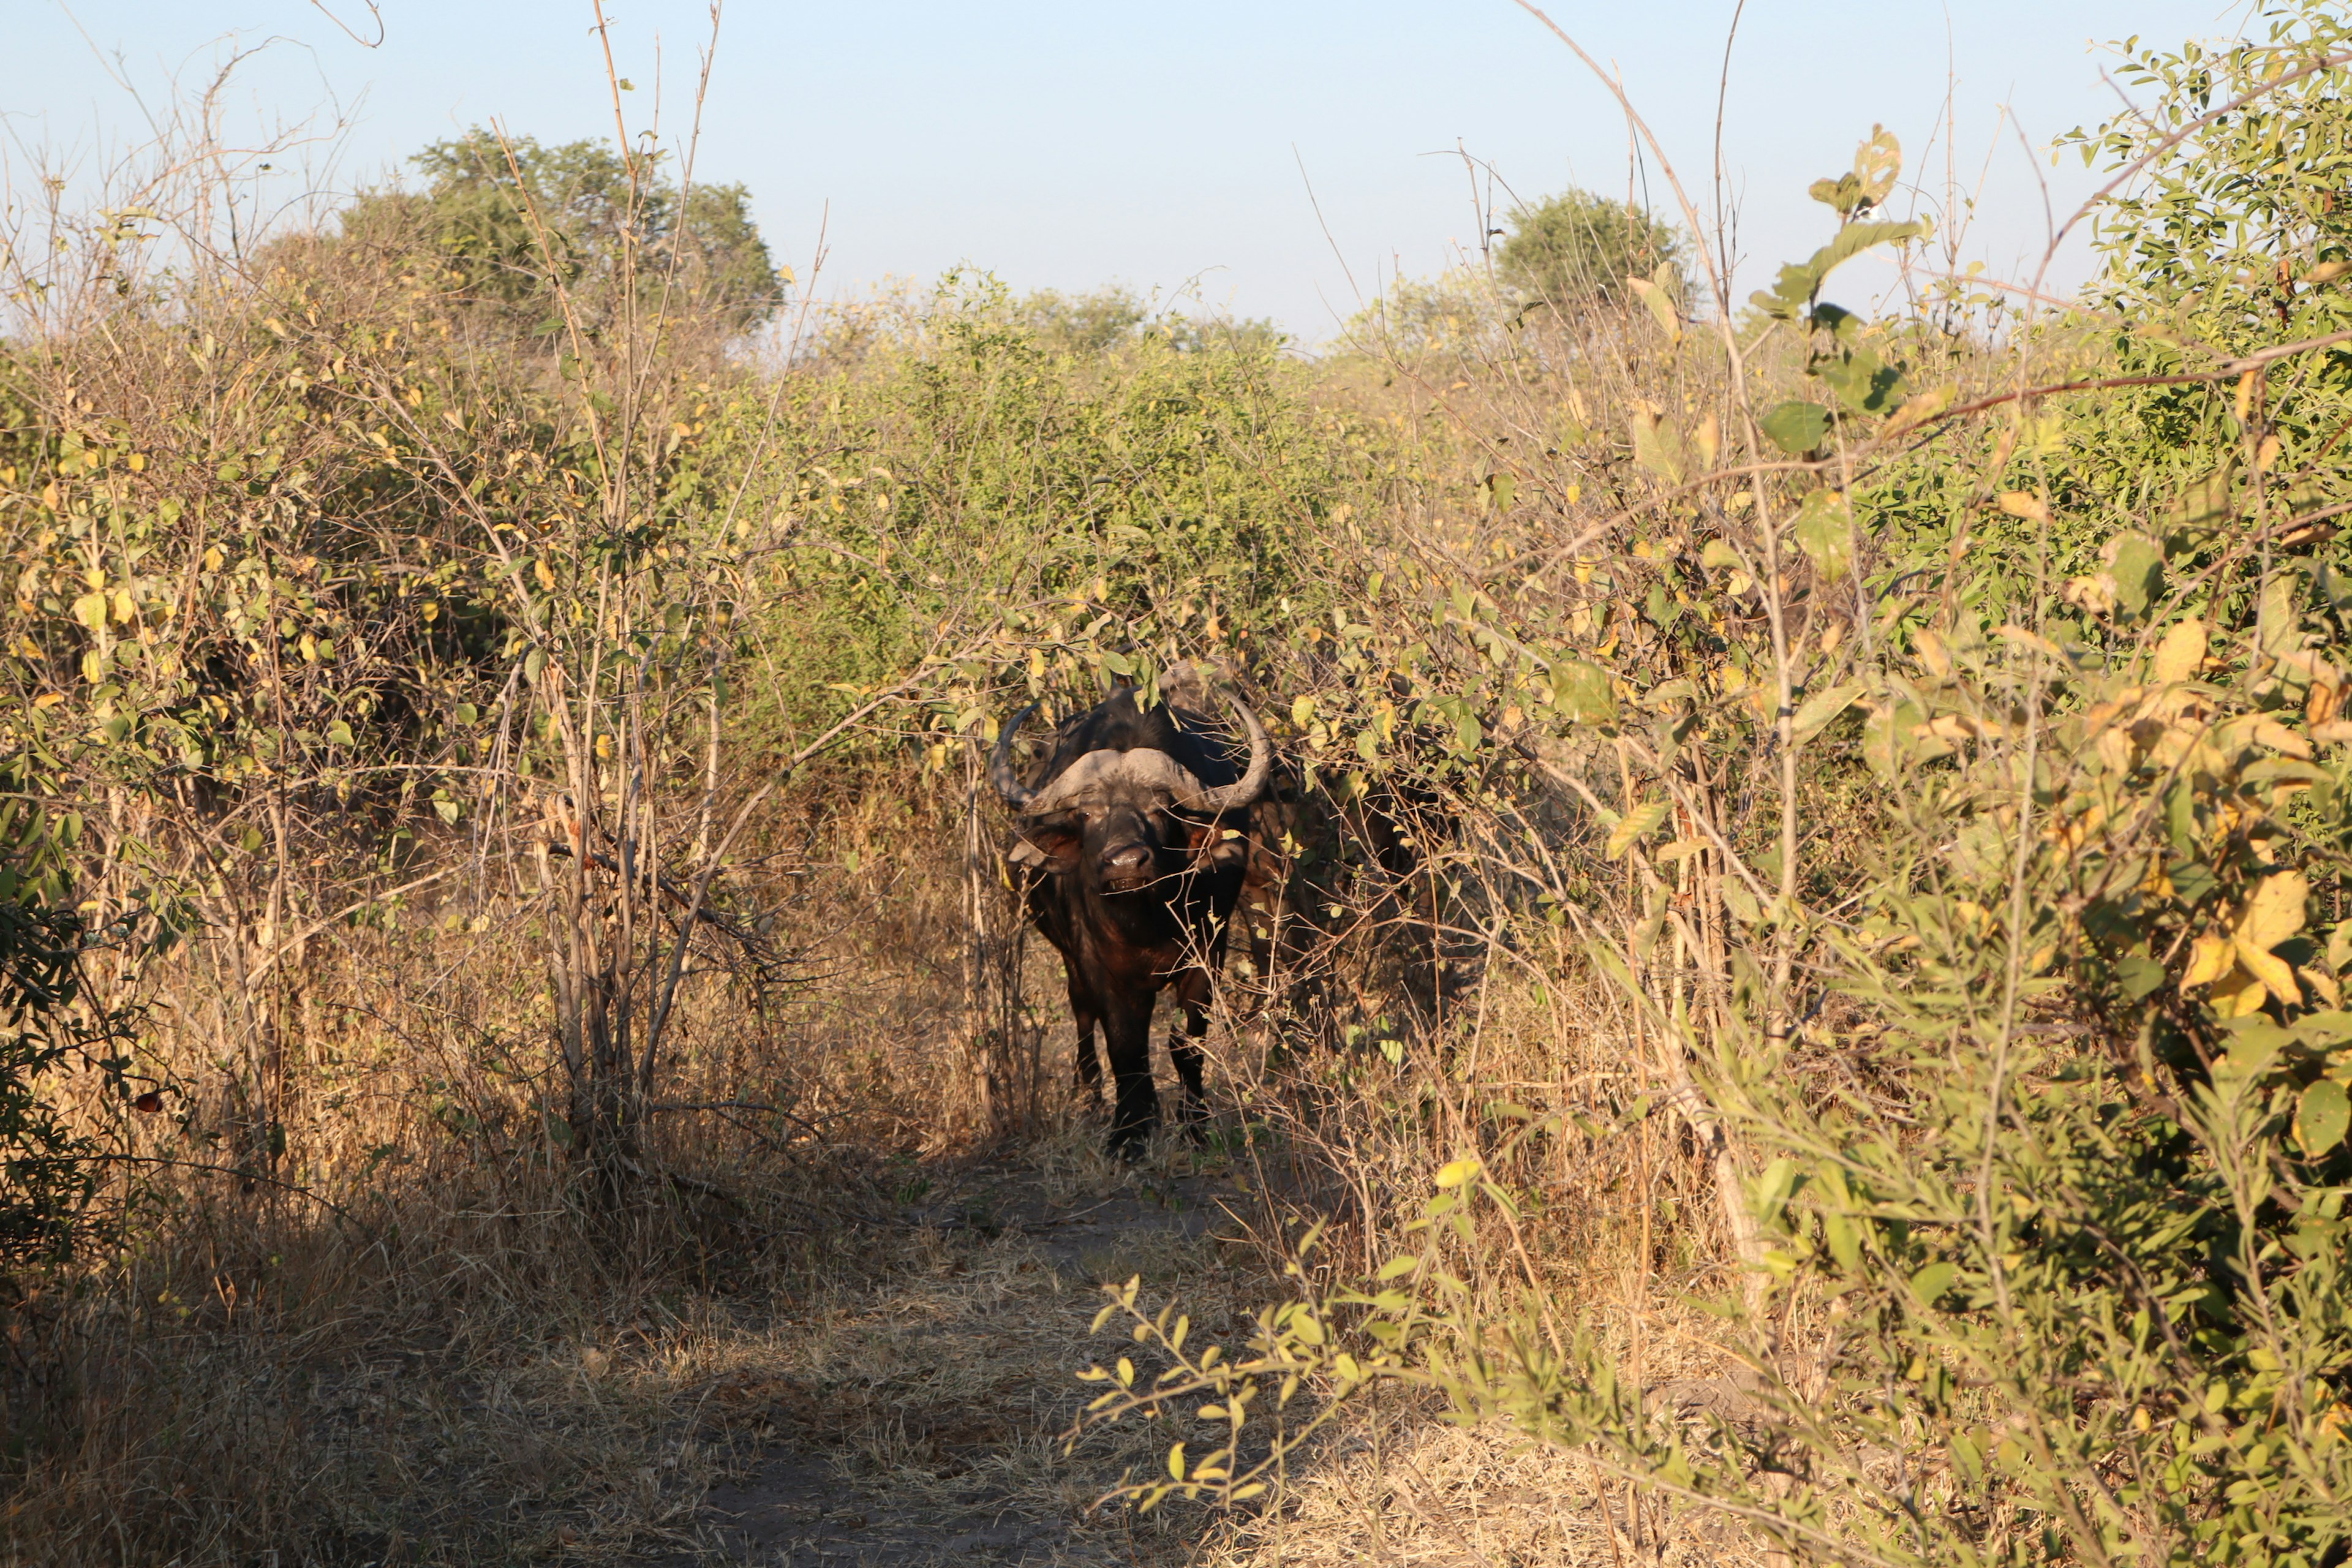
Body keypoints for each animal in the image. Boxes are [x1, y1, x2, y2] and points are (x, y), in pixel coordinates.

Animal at [992, 686, 1270, 1152]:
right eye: (1088, 813)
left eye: (1160, 810)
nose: (1125, 862)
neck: (1145, 920)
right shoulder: (1098, 962)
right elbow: (1125, 1046)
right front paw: (1128, 1134)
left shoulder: (1208, 954)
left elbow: (1186, 1044)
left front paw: (1194, 1126)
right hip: (1071, 961)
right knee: (1084, 1016)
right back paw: (1090, 1096)